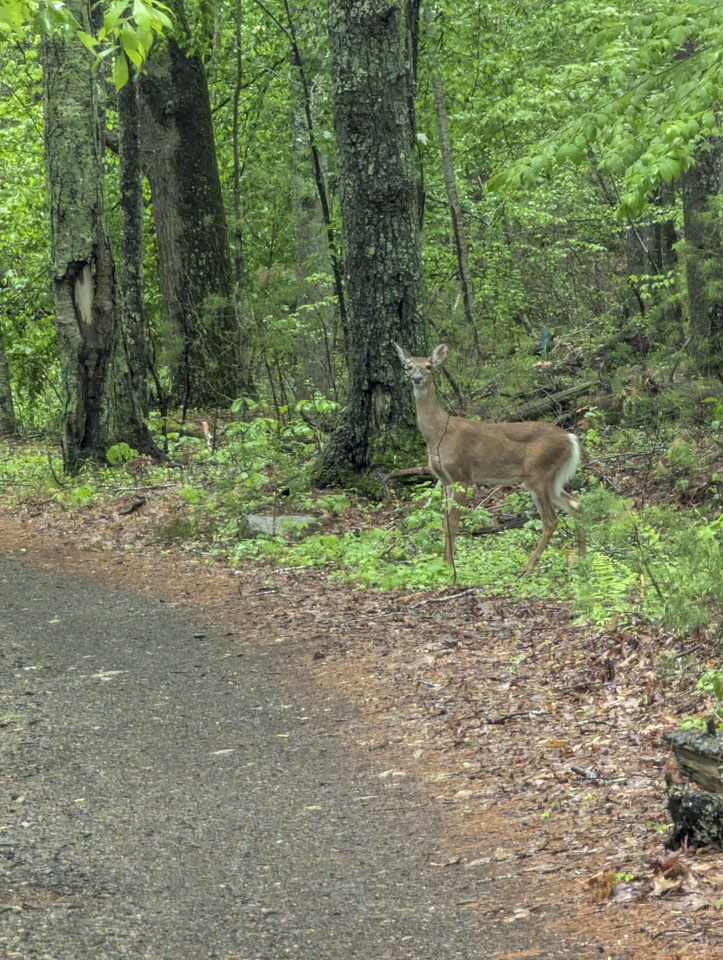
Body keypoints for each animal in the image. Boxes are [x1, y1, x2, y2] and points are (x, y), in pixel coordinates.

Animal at [395, 343, 585, 577]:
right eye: (409, 366)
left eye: (429, 366)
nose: (417, 378)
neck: (438, 434)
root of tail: (570, 438)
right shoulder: (445, 480)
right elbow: (445, 521)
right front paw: (444, 564)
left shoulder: (462, 475)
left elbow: (453, 522)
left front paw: (450, 568)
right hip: (552, 478)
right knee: (576, 504)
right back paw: (582, 560)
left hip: (538, 473)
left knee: (551, 520)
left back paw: (527, 570)